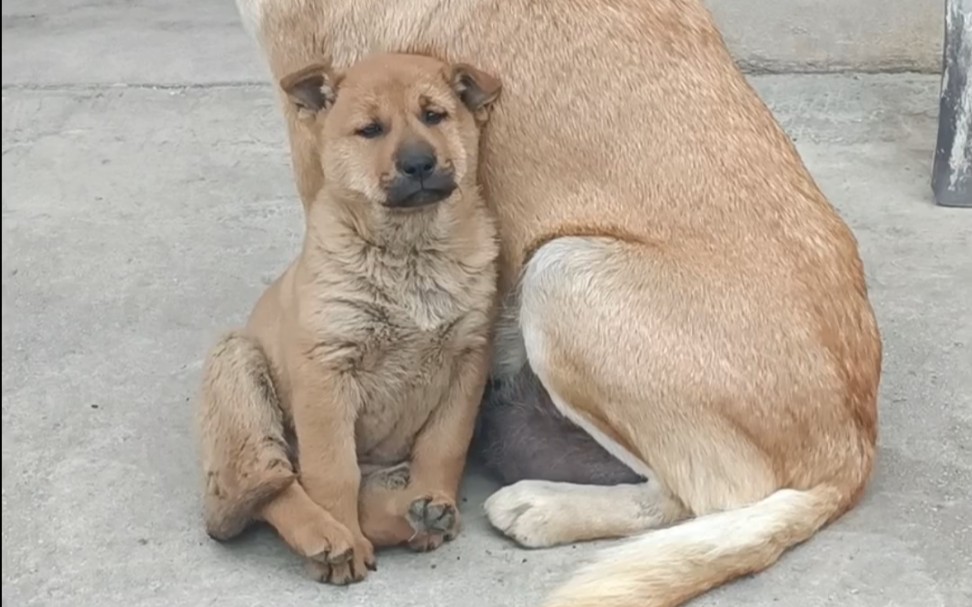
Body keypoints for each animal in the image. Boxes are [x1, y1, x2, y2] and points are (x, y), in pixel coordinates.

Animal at [195, 52, 504, 584]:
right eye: (370, 130)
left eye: (434, 116)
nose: (419, 164)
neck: (410, 253)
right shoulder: (326, 370)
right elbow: (332, 470)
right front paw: (345, 544)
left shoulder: (468, 360)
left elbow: (443, 447)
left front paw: (434, 499)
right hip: (236, 368)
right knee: (275, 484)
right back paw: (328, 538)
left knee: (365, 499)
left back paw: (418, 514)